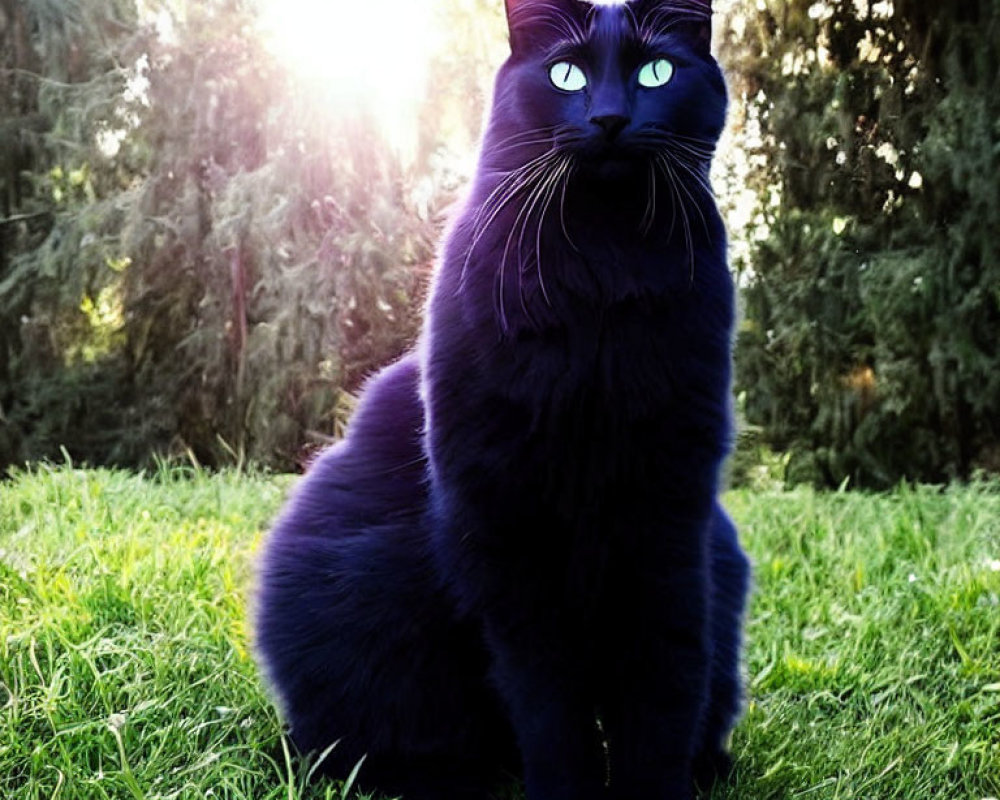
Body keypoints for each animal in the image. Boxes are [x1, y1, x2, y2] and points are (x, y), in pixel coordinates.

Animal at [254, 1, 748, 800]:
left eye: (656, 71)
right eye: (566, 74)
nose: (610, 117)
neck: (604, 272)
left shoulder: (669, 516)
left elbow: (665, 684)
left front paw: (657, 784)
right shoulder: (508, 528)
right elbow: (548, 702)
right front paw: (564, 788)